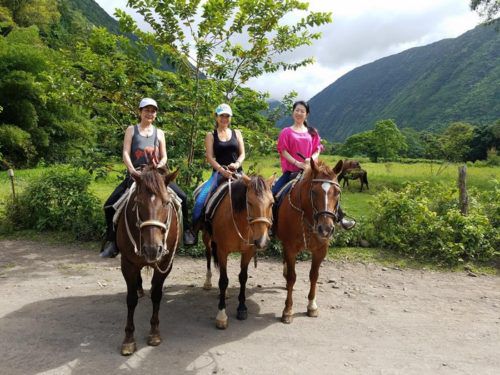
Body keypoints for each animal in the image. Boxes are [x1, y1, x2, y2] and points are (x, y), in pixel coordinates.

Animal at [115, 165, 182, 356]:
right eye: (138, 203)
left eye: (166, 203)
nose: (152, 249)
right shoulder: (127, 264)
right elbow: (130, 300)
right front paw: (129, 339)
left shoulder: (166, 263)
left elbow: (157, 295)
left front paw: (154, 333)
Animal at [201, 175, 276, 330]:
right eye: (249, 202)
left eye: (272, 203)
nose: (262, 241)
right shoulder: (222, 251)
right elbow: (223, 281)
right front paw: (221, 315)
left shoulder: (247, 252)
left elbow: (243, 278)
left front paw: (242, 308)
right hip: (207, 238)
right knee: (208, 255)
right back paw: (208, 282)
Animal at [274, 159, 344, 324]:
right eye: (314, 192)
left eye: (337, 192)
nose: (326, 229)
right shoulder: (290, 248)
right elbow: (292, 277)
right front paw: (288, 310)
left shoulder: (321, 250)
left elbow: (314, 275)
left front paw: (312, 306)